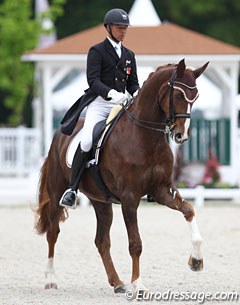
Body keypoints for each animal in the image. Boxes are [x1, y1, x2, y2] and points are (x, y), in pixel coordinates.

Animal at [35, 58, 208, 292]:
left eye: (195, 97)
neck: (145, 137)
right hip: (56, 193)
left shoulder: (162, 190)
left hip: (101, 201)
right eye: (180, 95)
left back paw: (117, 282)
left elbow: (189, 210)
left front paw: (196, 261)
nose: (182, 135)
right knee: (53, 232)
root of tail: (59, 133)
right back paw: (51, 279)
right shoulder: (129, 198)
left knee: (101, 240)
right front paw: (139, 285)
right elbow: (135, 243)